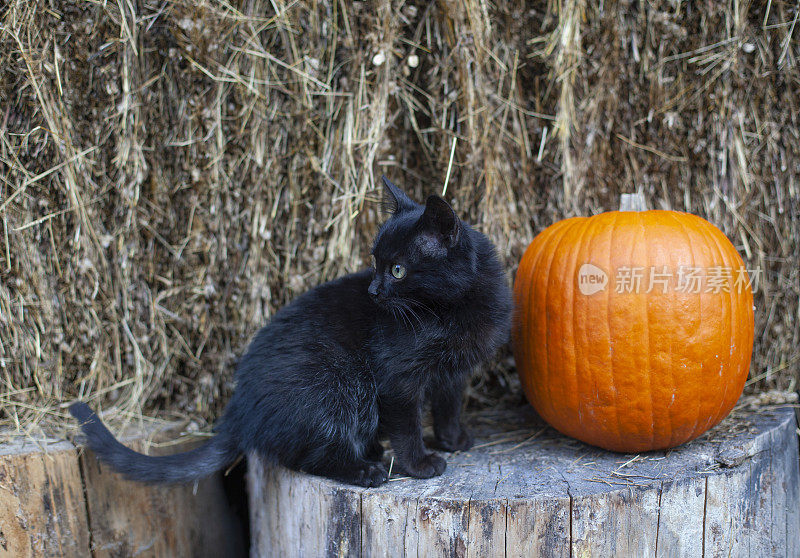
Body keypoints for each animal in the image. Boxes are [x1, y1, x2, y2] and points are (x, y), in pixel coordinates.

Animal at [67, 177, 506, 488]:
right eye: (375, 263)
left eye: (397, 269)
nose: (373, 290)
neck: (452, 311)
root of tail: (240, 408)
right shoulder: (397, 381)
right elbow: (408, 425)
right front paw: (420, 463)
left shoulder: (455, 371)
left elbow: (448, 405)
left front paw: (452, 439)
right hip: (335, 385)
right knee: (309, 454)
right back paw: (366, 469)